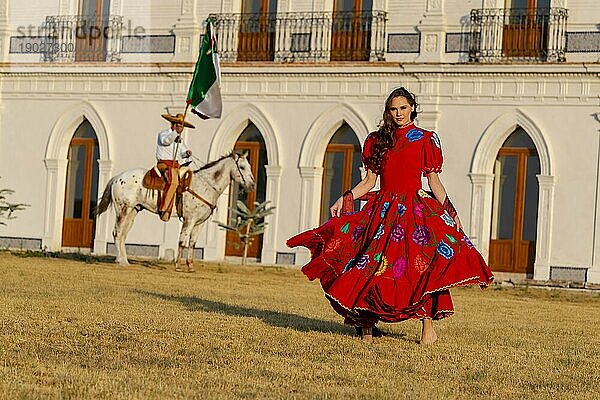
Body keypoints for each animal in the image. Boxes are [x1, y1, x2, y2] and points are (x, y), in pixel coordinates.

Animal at [95, 153, 255, 272]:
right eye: (242, 167)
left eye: (249, 166)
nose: (252, 185)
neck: (206, 185)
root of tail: (117, 178)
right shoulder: (189, 220)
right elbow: (182, 241)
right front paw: (178, 265)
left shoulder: (200, 223)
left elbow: (192, 243)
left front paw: (190, 266)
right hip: (123, 211)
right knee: (117, 233)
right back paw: (121, 261)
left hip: (133, 211)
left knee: (122, 235)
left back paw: (124, 260)